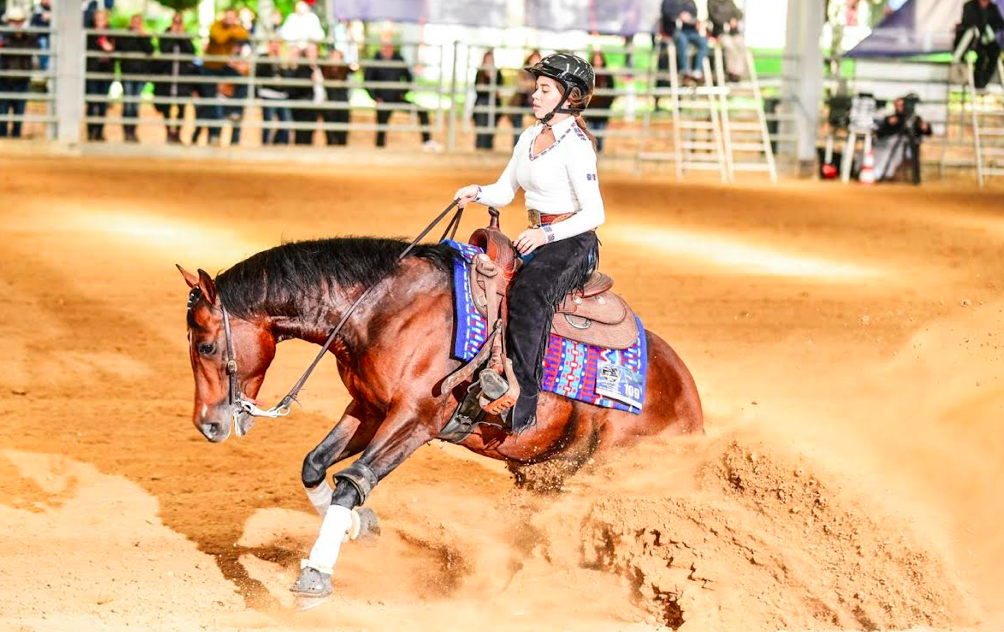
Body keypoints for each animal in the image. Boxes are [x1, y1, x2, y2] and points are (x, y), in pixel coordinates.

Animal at [176, 234, 702, 602]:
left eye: (206, 345)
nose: (207, 425)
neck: (386, 309)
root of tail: (690, 401)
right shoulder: (369, 408)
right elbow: (315, 465)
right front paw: (361, 527)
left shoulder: (415, 421)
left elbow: (353, 481)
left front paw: (316, 575)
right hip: (546, 472)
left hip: (602, 469)